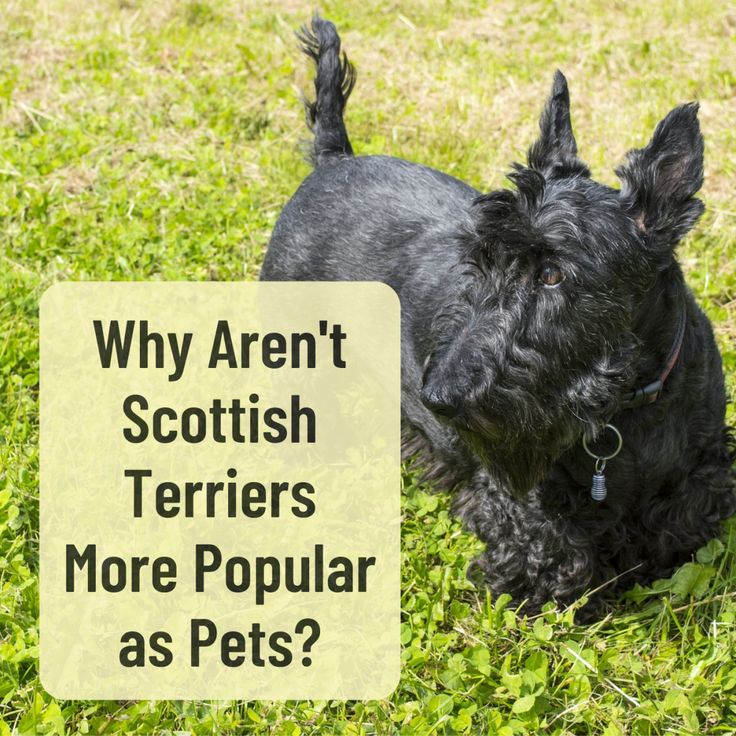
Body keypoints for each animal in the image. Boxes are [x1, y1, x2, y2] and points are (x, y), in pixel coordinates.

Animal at [260, 18, 736, 616]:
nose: (438, 398)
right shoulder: (517, 498)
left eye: (552, 274)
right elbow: (556, 555)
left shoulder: (702, 476)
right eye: (481, 260)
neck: (629, 407)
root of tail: (334, 158)